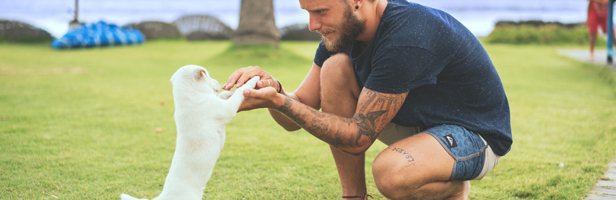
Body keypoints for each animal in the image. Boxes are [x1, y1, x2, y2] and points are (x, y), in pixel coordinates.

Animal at [121, 65, 258, 199]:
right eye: (208, 75)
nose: (218, 82)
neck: (191, 96)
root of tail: (163, 196)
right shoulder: (227, 109)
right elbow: (239, 93)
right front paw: (252, 80)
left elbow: (224, 94)